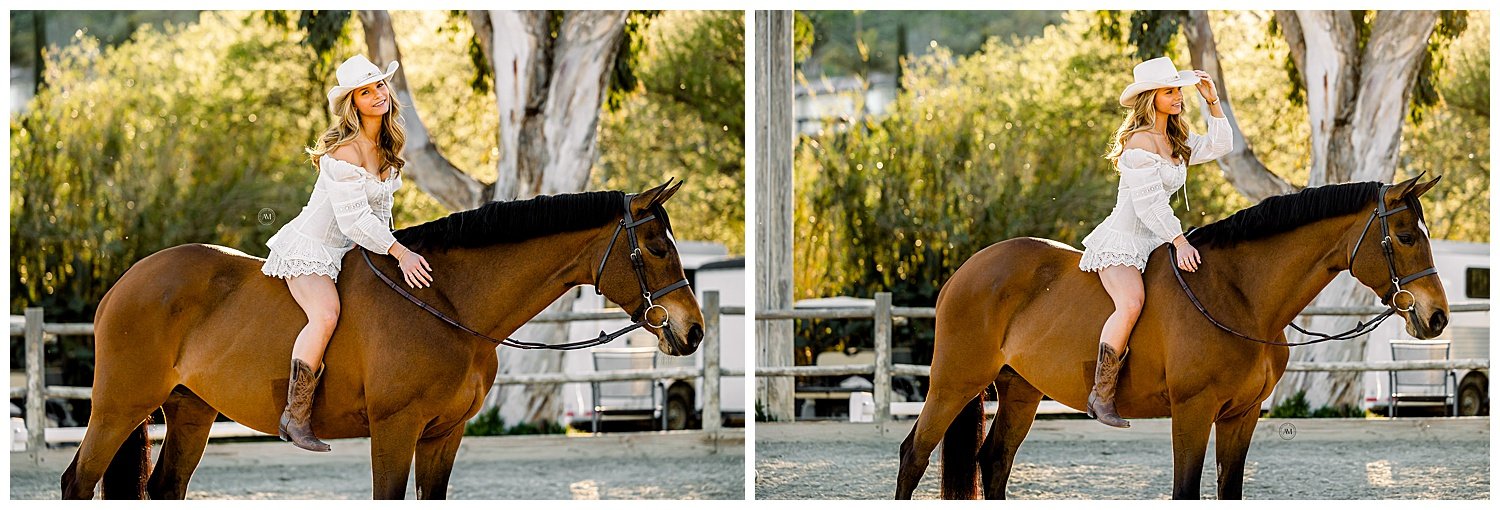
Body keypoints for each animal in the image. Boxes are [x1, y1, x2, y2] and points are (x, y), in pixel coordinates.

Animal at [61, 179, 705, 498]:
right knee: (78, 481)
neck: (446, 301)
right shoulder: (395, 431)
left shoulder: (444, 435)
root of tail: (126, 282)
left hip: (190, 412)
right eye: (655, 248)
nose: (692, 329)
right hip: (119, 406)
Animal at [894, 175, 1446, 498]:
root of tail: (968, 269)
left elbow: (1229, 490)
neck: (1238, 294)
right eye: (1404, 236)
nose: (1437, 315)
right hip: (953, 383)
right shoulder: (1193, 411)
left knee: (994, 462)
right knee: (914, 455)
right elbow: (1186, 490)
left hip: (1020, 391)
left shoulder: (1242, 416)